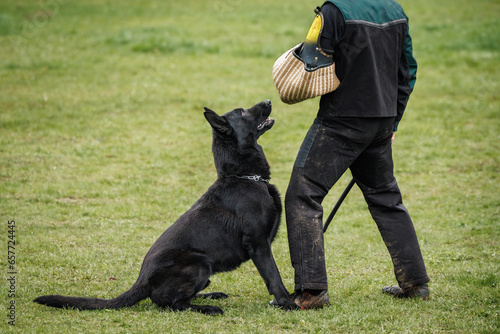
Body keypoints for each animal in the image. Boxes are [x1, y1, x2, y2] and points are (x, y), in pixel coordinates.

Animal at [34, 100, 296, 314]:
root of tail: (141, 281)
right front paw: (287, 303)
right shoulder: (258, 244)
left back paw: (210, 296)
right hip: (200, 263)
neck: (244, 176)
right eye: (242, 112)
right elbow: (273, 276)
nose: (269, 100)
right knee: (169, 302)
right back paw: (207, 308)